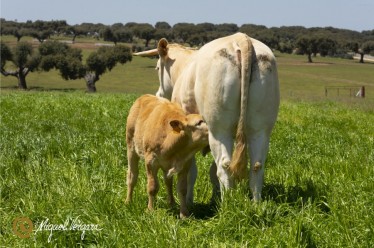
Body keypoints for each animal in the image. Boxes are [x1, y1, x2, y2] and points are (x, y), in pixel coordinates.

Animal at [134, 33, 278, 202]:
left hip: (218, 130)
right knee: (256, 166)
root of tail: (241, 38)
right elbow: (211, 172)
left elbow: (191, 172)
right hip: (260, 129)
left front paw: (188, 200)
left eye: (157, 67)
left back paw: (227, 203)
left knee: (224, 165)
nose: (158, 94)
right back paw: (255, 203)